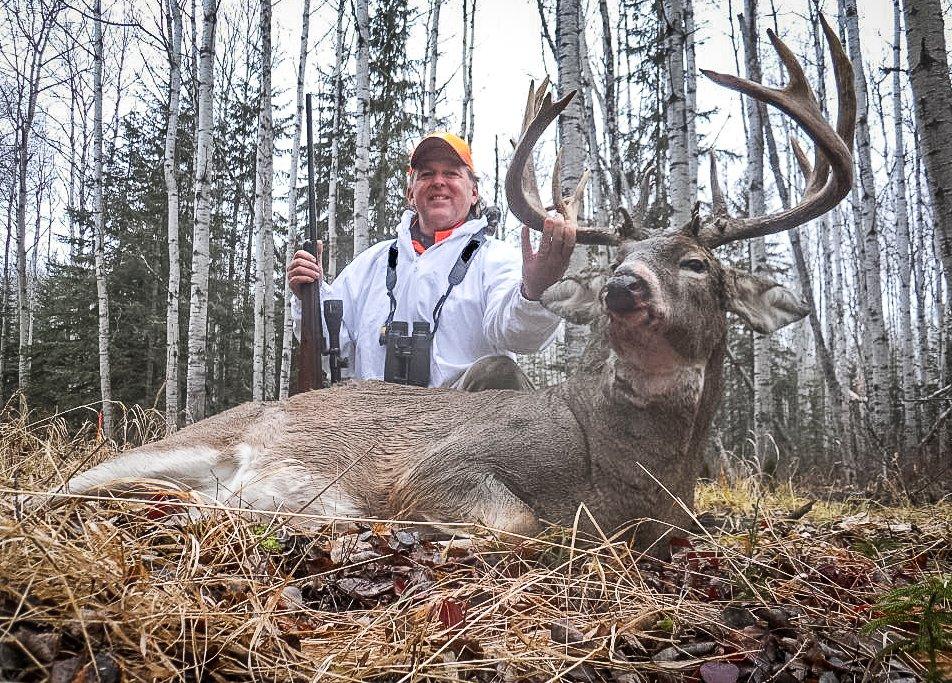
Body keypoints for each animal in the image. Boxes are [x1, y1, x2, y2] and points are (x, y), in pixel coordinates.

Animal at [44, 18, 856, 556]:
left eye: (697, 264)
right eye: (616, 258)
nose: (623, 286)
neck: (626, 474)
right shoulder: (446, 463)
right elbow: (517, 522)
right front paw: (411, 526)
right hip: (187, 440)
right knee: (53, 489)